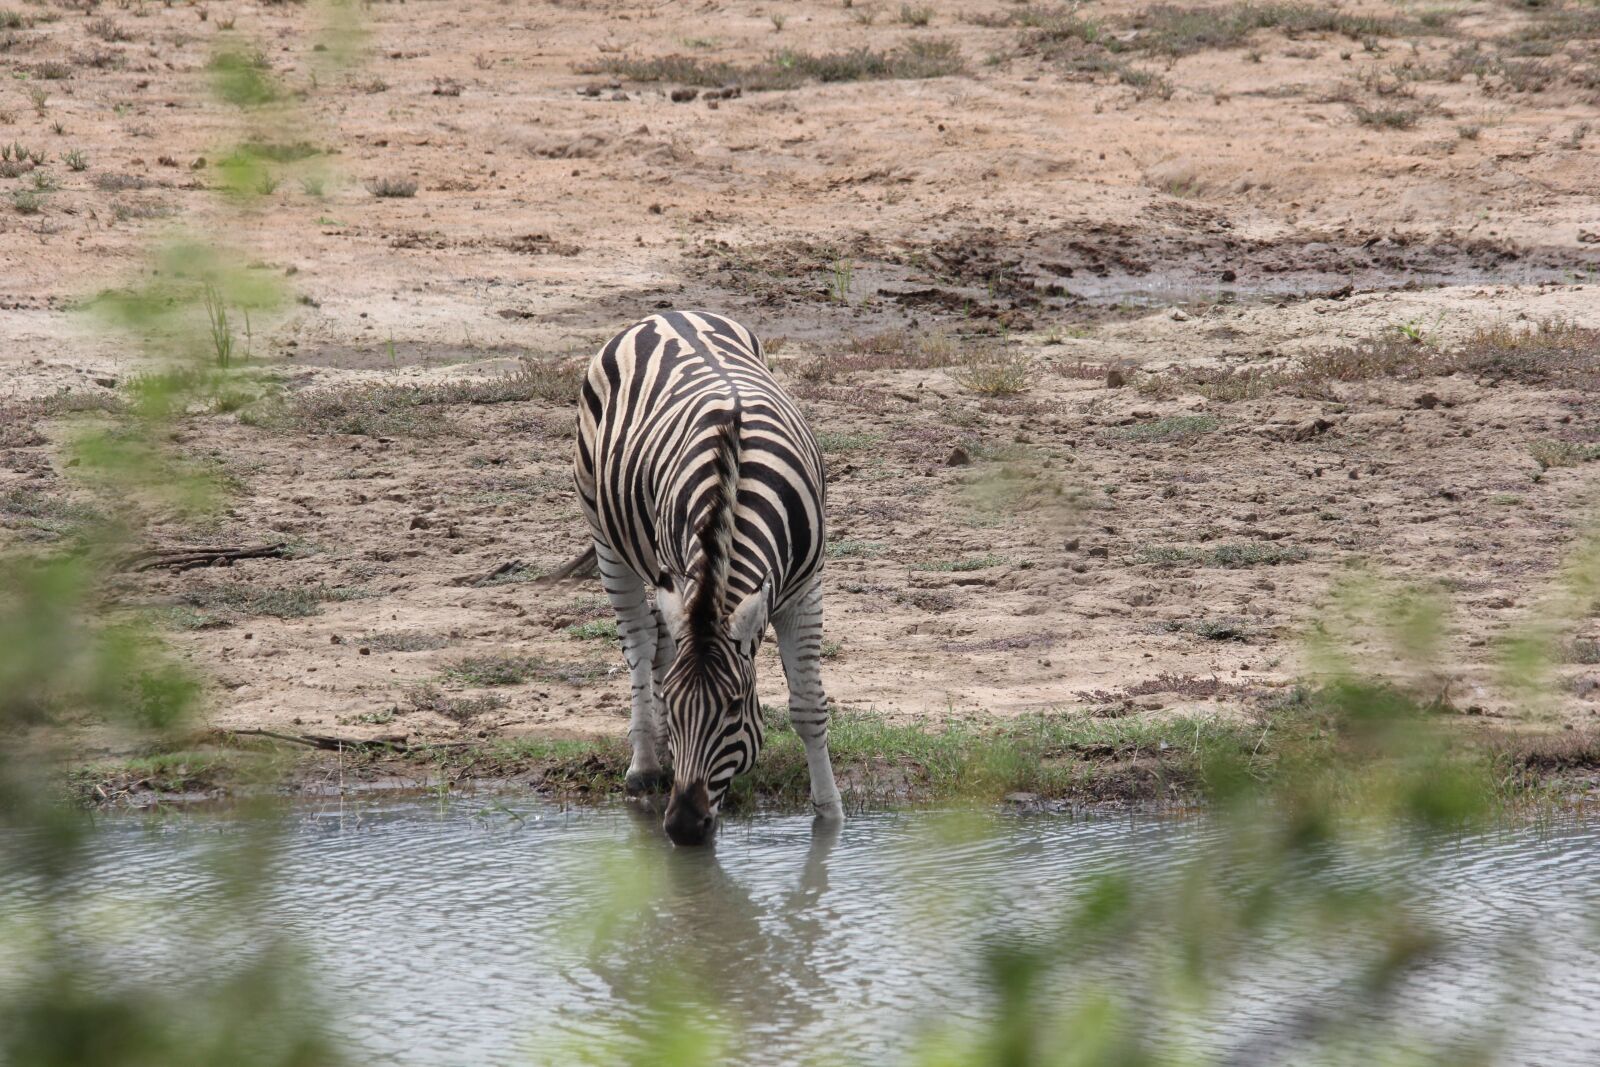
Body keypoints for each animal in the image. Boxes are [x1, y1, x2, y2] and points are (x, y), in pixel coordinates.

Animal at [574, 309, 844, 845]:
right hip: (604, 532)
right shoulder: (683, 573)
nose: (682, 827)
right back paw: (644, 763)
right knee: (639, 642)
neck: (735, 485)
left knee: (661, 641)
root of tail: (665, 314)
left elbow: (808, 707)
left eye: (736, 708)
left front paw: (830, 817)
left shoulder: (806, 589)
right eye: (678, 706)